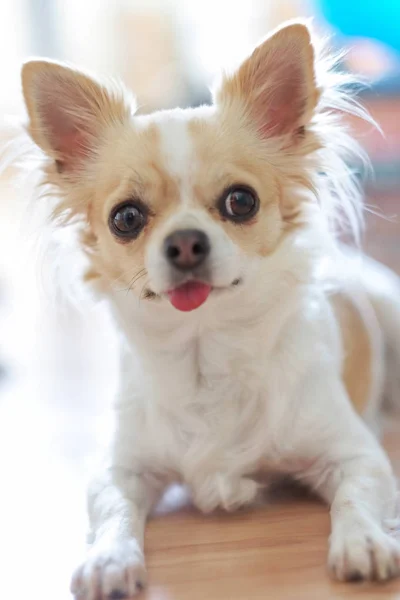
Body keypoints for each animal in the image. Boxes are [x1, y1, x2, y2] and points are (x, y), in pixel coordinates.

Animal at [19, 19, 400, 600]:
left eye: (240, 201)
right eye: (126, 217)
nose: (185, 242)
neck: (205, 351)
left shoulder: (356, 454)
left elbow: (356, 495)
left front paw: (363, 541)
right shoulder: (120, 469)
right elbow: (113, 509)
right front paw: (108, 559)